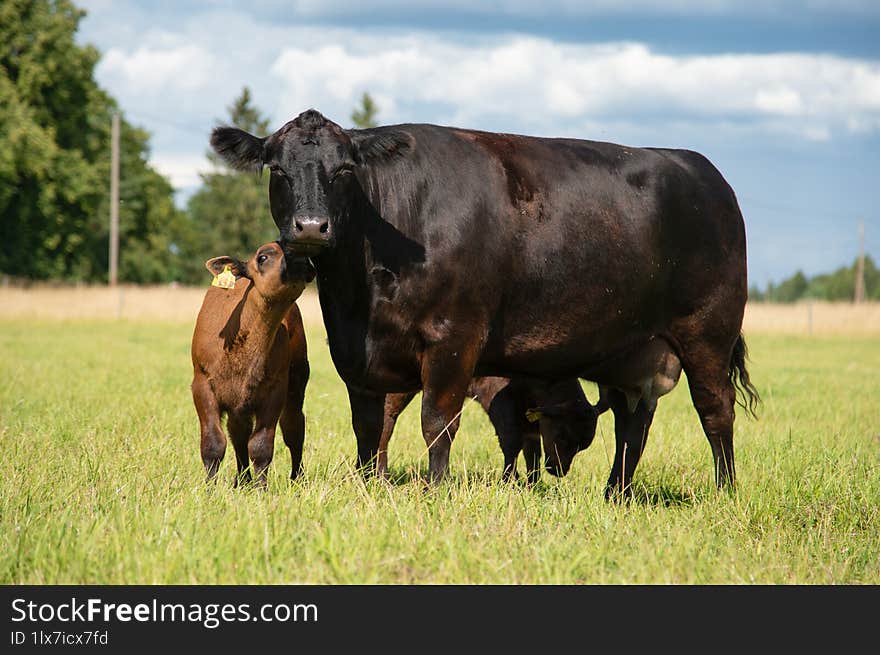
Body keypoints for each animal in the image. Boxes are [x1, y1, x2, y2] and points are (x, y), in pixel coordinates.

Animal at [191, 242, 314, 486]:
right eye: (263, 257)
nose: (300, 258)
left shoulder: (275, 390)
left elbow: (261, 446)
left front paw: (261, 489)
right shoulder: (201, 384)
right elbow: (213, 443)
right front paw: (209, 488)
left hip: (297, 381)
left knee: (294, 427)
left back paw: (297, 478)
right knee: (238, 432)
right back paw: (242, 479)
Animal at [211, 110, 756, 498]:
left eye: (345, 169)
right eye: (277, 168)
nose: (310, 226)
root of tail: (705, 173)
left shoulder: (455, 338)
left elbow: (437, 421)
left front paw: (435, 492)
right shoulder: (355, 353)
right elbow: (368, 426)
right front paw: (367, 486)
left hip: (708, 332)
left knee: (715, 411)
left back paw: (725, 492)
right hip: (630, 351)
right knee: (632, 423)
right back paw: (615, 495)